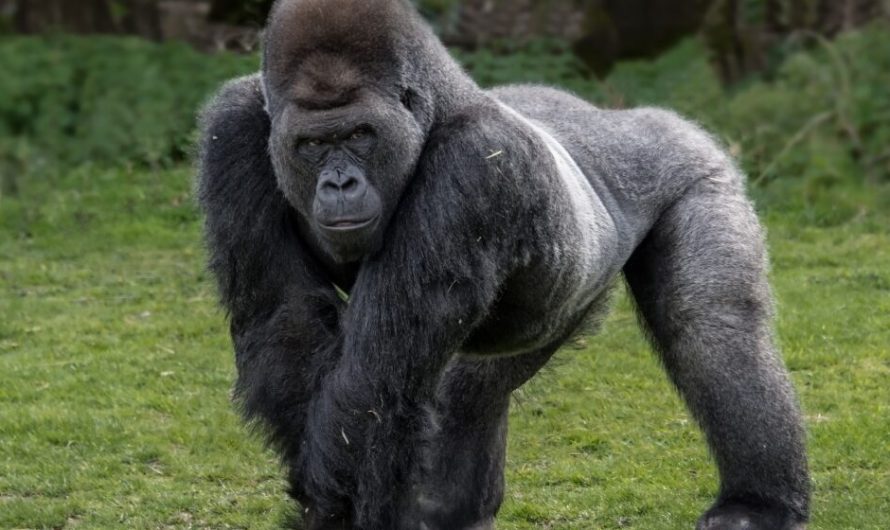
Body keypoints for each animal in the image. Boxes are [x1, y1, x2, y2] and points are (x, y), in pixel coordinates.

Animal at [198, 1, 808, 528]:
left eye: (359, 135)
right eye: (311, 145)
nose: (339, 183)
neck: (438, 104)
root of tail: (632, 116)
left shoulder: (475, 165)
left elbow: (371, 389)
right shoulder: (232, 128)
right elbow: (287, 321)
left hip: (697, 165)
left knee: (710, 323)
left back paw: (758, 503)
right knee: (476, 381)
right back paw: (449, 507)